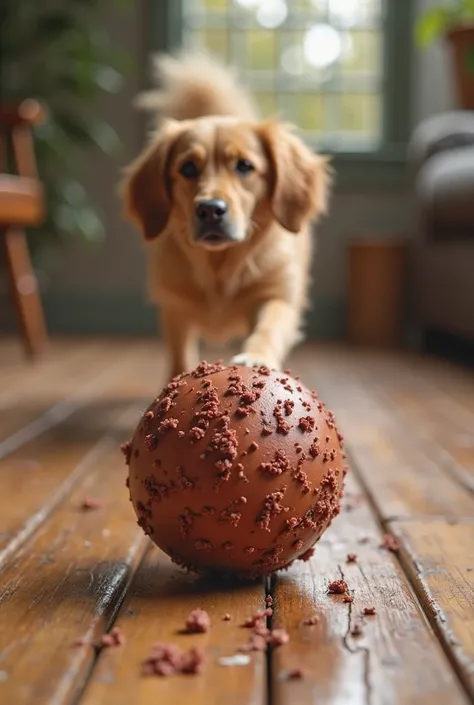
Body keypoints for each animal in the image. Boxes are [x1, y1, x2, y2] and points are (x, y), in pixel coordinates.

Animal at [122, 53, 330, 380]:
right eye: (187, 168)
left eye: (245, 166)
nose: (210, 209)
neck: (219, 267)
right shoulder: (175, 308)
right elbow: (180, 354)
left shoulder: (277, 295)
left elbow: (268, 327)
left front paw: (256, 357)